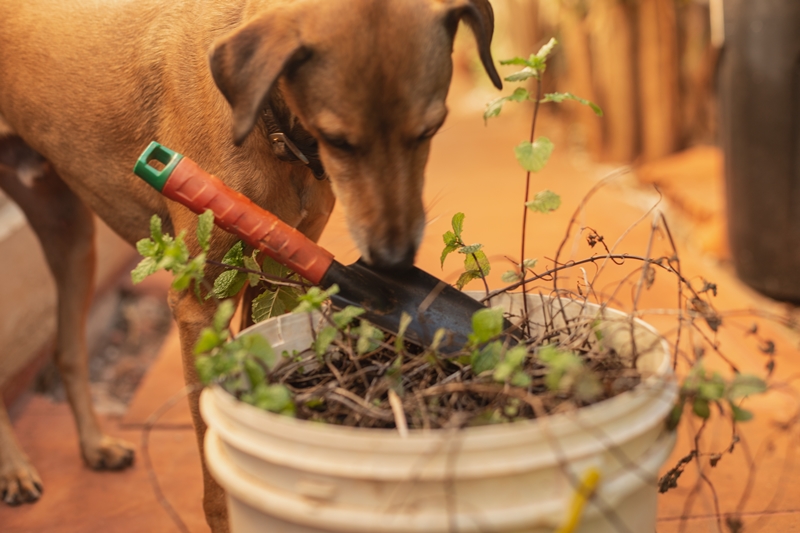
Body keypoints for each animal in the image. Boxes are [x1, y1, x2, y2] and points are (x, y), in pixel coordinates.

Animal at [0, 0, 500, 528]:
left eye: (430, 129)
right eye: (339, 140)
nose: (394, 261)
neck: (265, 116)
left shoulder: (277, 280)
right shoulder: (198, 306)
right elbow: (215, 475)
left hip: (70, 233)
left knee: (68, 350)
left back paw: (95, 444)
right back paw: (14, 468)